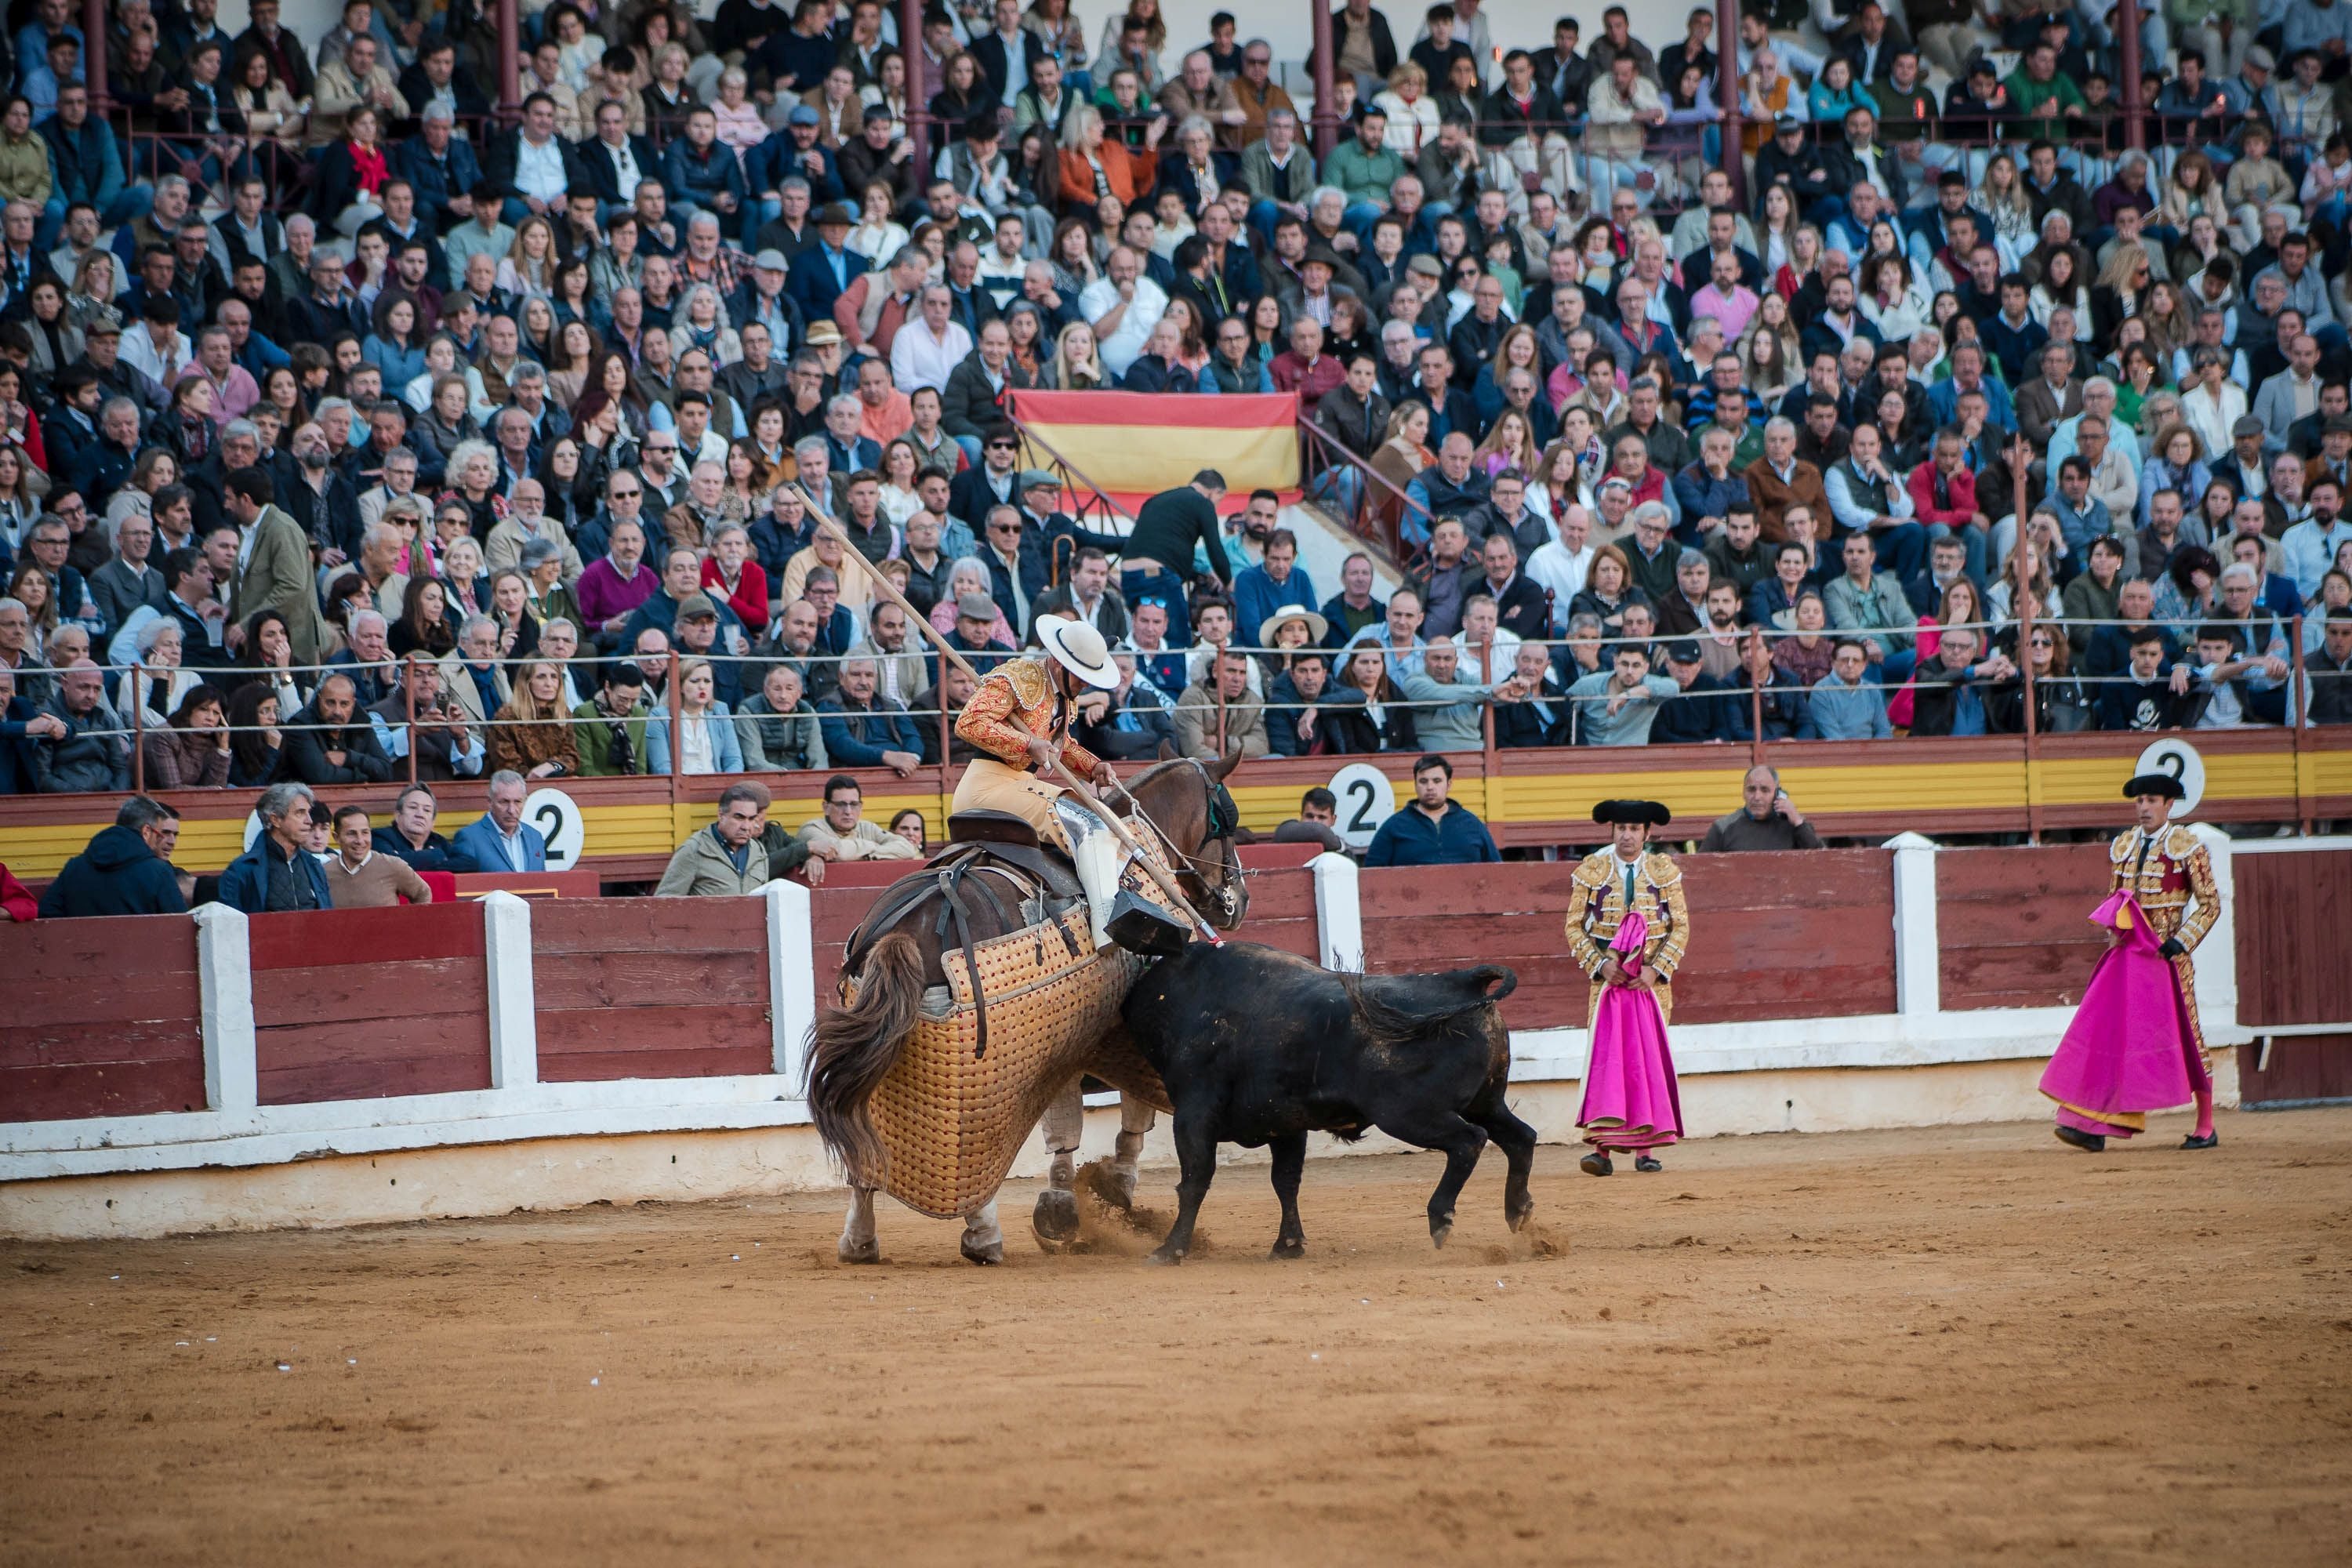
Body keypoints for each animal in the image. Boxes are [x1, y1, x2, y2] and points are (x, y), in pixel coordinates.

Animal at [809, 752, 1251, 1260]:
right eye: (1229, 824)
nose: (1239, 901)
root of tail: (904, 929)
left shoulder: (1068, 1040)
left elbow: (1066, 1122)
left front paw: (1062, 1207)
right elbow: (1129, 1113)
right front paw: (1113, 1186)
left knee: (864, 1137)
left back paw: (859, 1240)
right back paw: (983, 1234)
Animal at [1120, 945, 1543, 1260]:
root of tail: (1463, 981)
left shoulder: (1194, 1111)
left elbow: (1195, 1179)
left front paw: (1170, 1250)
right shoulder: (1285, 1122)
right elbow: (1286, 1180)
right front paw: (1288, 1245)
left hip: (1409, 1113)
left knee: (1470, 1141)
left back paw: (1441, 1218)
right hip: (1486, 1102)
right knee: (1520, 1137)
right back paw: (1518, 1212)